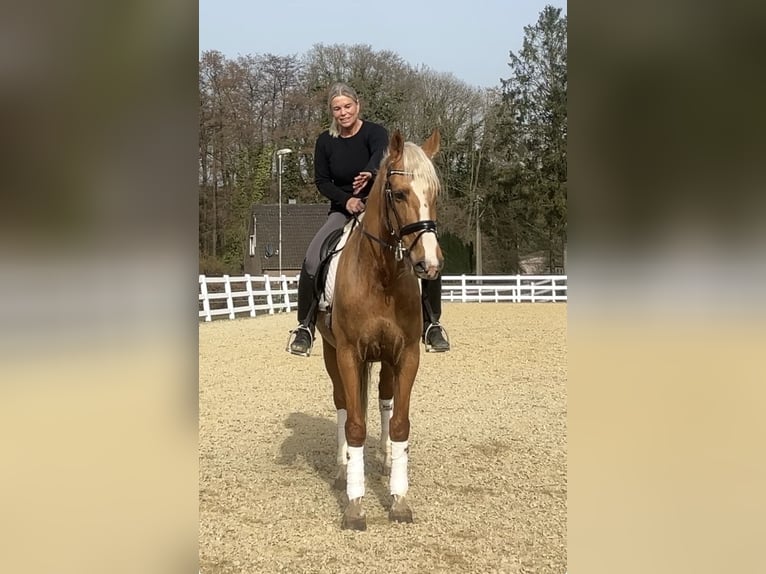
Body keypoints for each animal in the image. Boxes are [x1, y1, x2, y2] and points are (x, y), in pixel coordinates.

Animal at [316, 128, 443, 530]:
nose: (429, 264)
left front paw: (399, 498)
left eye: (435, 194)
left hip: (386, 358)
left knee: (385, 400)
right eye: (399, 194)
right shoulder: (347, 353)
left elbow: (400, 423)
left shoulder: (407, 354)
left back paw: (387, 460)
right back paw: (343, 468)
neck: (381, 274)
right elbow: (355, 423)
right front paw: (355, 503)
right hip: (330, 353)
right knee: (343, 404)